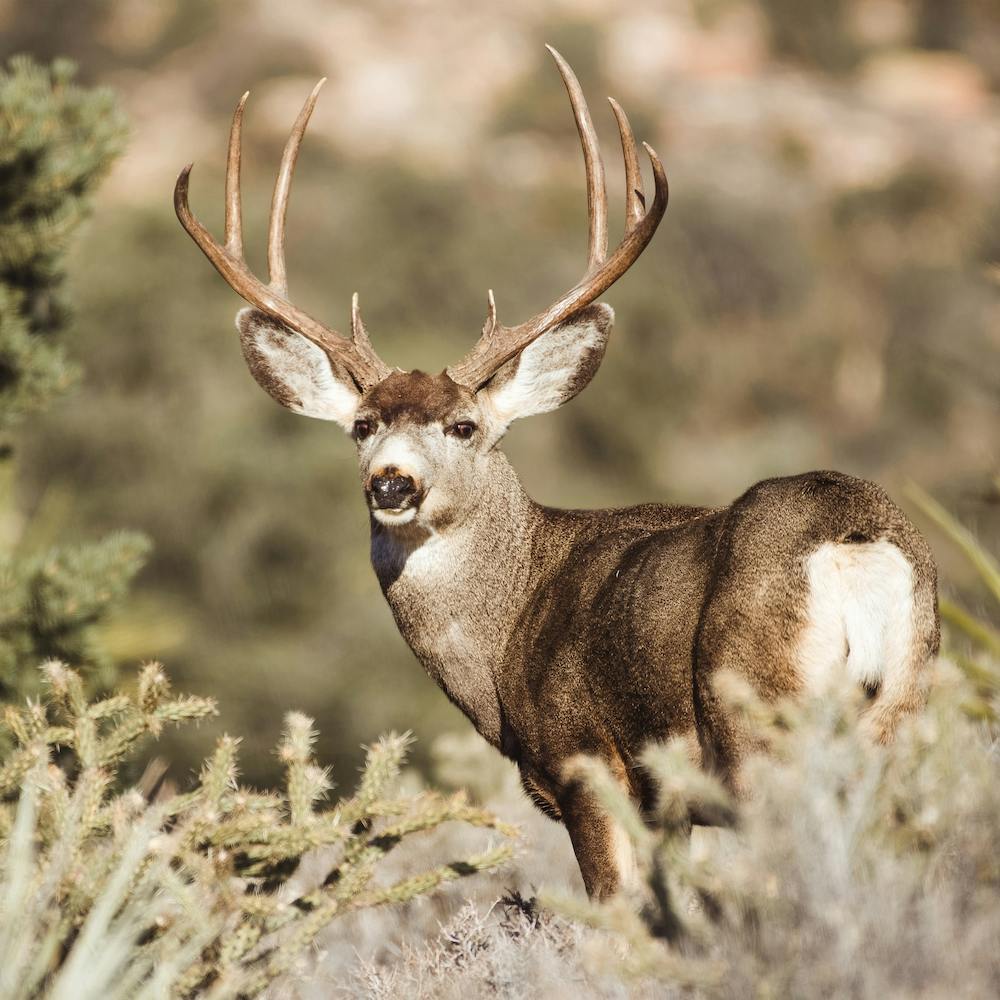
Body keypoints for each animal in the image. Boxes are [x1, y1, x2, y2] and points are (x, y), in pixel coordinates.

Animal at [175, 47, 939, 899]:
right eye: (362, 427)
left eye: (464, 426)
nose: (392, 483)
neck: (508, 621)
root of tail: (855, 542)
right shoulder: (668, 807)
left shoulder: (584, 761)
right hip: (901, 713)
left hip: (757, 726)